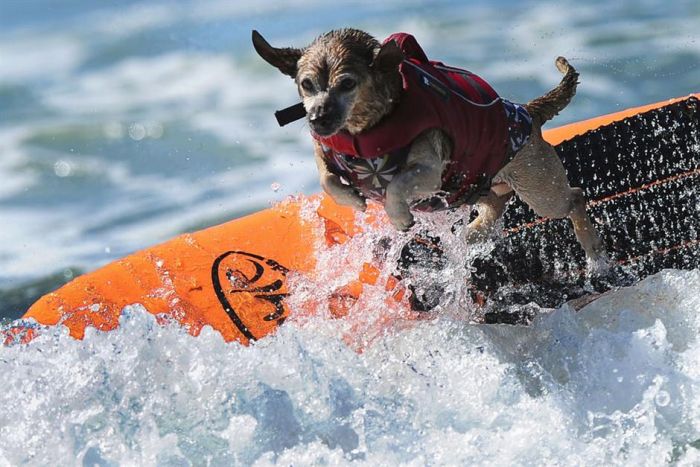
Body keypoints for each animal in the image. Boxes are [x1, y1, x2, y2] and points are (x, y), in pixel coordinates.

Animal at [252, 28, 608, 266]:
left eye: (348, 84)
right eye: (306, 85)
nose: (317, 120)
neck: (364, 131)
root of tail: (528, 112)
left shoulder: (429, 171)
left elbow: (396, 184)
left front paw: (398, 217)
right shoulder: (324, 150)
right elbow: (327, 179)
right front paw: (351, 198)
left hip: (539, 188)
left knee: (574, 198)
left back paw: (593, 251)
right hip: (477, 185)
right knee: (495, 203)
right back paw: (473, 234)